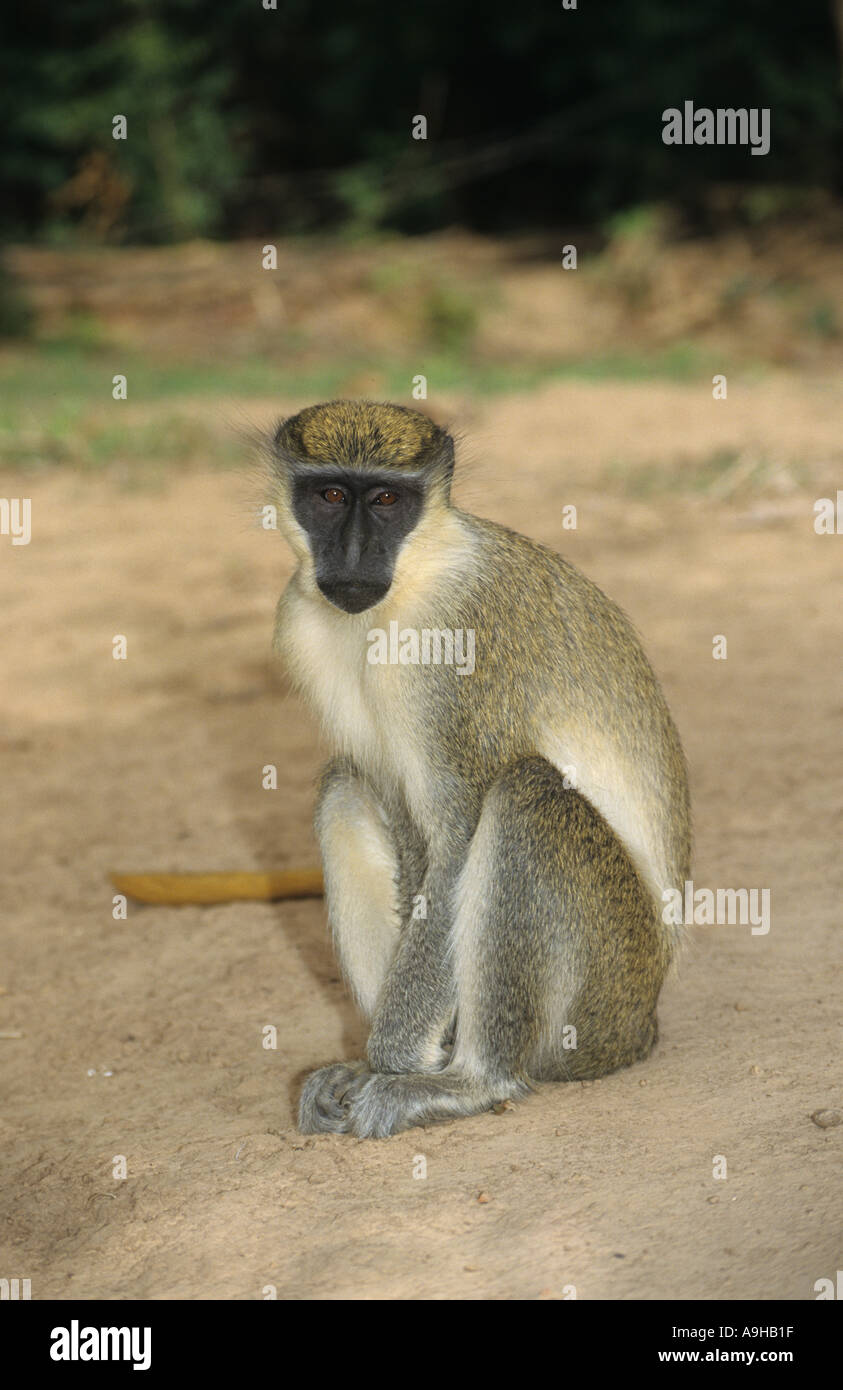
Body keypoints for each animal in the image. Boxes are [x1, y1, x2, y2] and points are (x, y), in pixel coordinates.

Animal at [271, 397, 692, 1134]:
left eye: (387, 500)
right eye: (329, 496)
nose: (351, 556)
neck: (409, 580)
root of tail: (644, 1028)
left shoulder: (455, 646)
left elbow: (459, 836)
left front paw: (389, 1060)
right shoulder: (301, 615)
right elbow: (407, 826)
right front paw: (381, 1058)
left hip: (606, 996)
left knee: (526, 794)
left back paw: (472, 1081)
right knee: (345, 786)